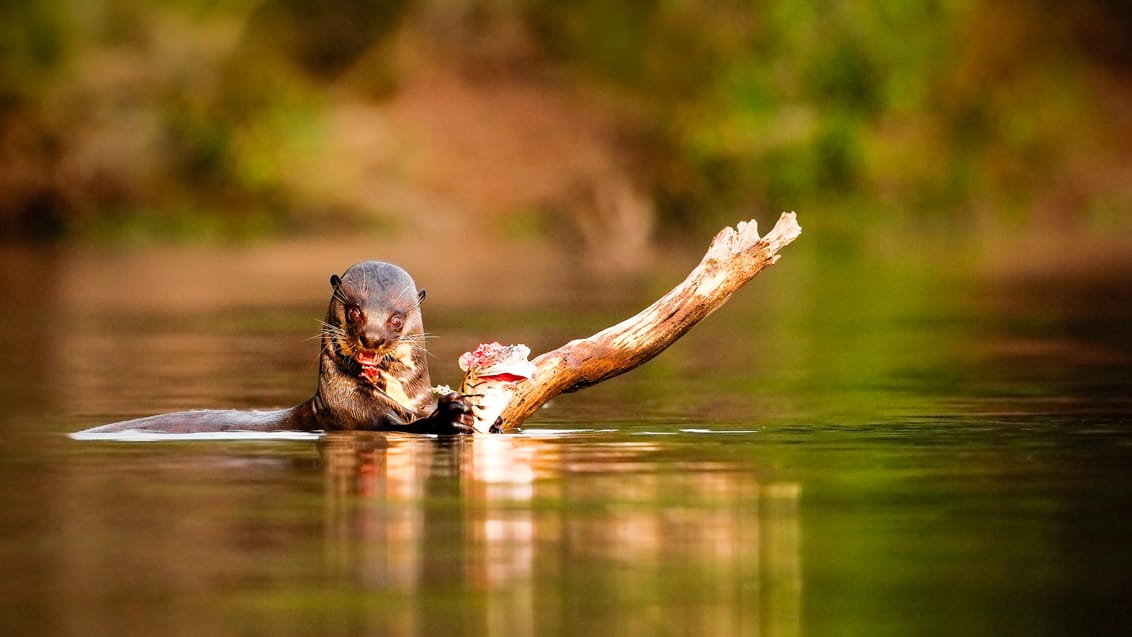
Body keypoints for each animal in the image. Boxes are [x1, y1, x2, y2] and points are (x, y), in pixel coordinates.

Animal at [76, 261, 473, 436]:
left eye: (396, 318)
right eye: (354, 310)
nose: (371, 338)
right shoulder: (354, 415)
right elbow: (404, 427)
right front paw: (451, 414)